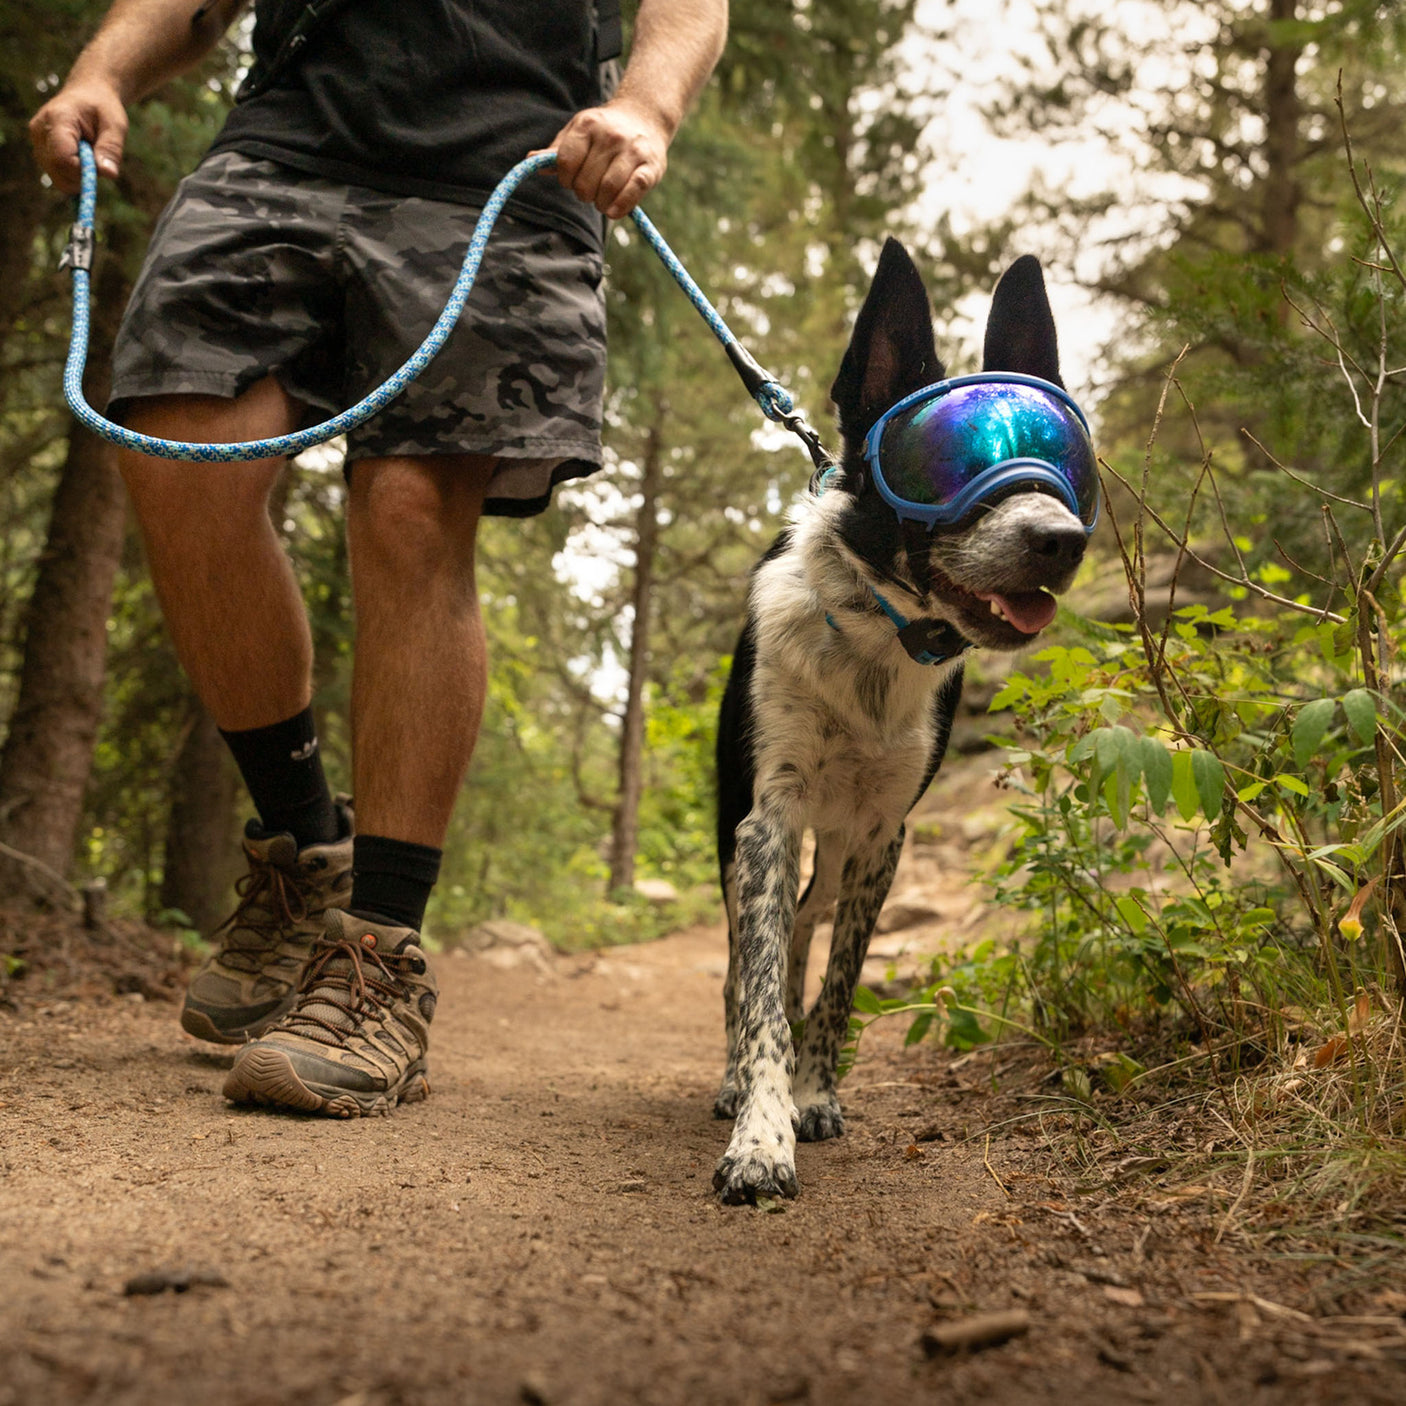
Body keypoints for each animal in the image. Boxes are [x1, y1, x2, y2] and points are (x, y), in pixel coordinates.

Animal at [708, 236, 1091, 1203]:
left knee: (805, 928)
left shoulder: (884, 835)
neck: (876, 637)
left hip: (840, 846)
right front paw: (760, 1134)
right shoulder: (766, 822)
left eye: (1064, 456)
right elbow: (759, 995)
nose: (1063, 541)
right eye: (941, 461)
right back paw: (731, 1080)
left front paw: (812, 1094)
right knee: (742, 963)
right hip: (736, 839)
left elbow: (838, 986)